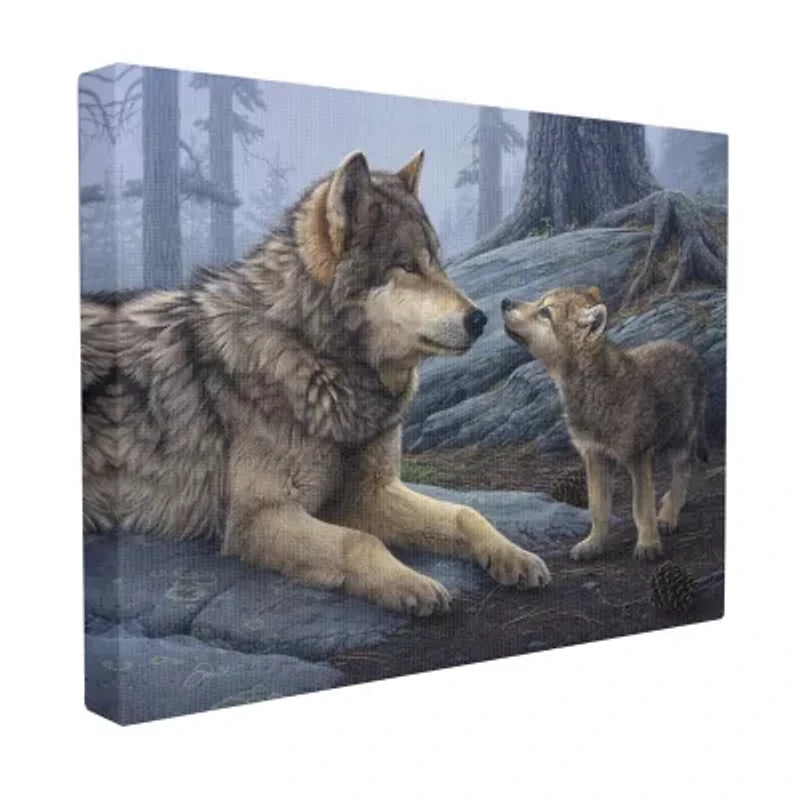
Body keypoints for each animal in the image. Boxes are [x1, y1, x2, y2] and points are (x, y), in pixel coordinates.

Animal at [82, 150, 551, 616]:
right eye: (407, 266)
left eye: (438, 262)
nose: (481, 319)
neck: (320, 361)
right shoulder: (257, 517)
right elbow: (360, 541)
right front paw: (413, 585)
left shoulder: (368, 493)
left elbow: (465, 513)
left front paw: (513, 555)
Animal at [501, 287, 708, 562]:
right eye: (538, 302)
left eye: (545, 312)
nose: (504, 302)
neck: (590, 388)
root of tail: (690, 351)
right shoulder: (594, 455)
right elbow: (598, 508)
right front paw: (593, 544)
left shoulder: (637, 455)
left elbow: (641, 507)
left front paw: (648, 545)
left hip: (680, 440)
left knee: (683, 474)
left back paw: (667, 516)